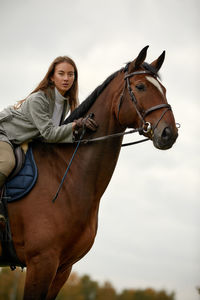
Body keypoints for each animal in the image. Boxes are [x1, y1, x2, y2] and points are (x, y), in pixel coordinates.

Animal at [0, 45, 178, 298]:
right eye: (140, 87)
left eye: (163, 89)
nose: (169, 133)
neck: (66, 176)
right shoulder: (42, 262)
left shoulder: (62, 268)